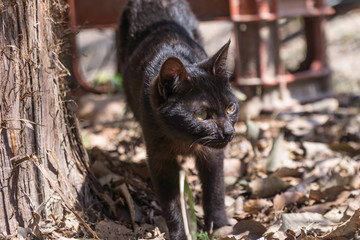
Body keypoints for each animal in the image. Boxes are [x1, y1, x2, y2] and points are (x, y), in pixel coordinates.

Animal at [118, 0, 240, 238]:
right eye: (202, 115)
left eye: (230, 108)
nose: (229, 132)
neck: (184, 140)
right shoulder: (159, 158)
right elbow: (171, 202)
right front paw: (180, 233)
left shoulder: (212, 154)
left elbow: (215, 189)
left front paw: (219, 225)